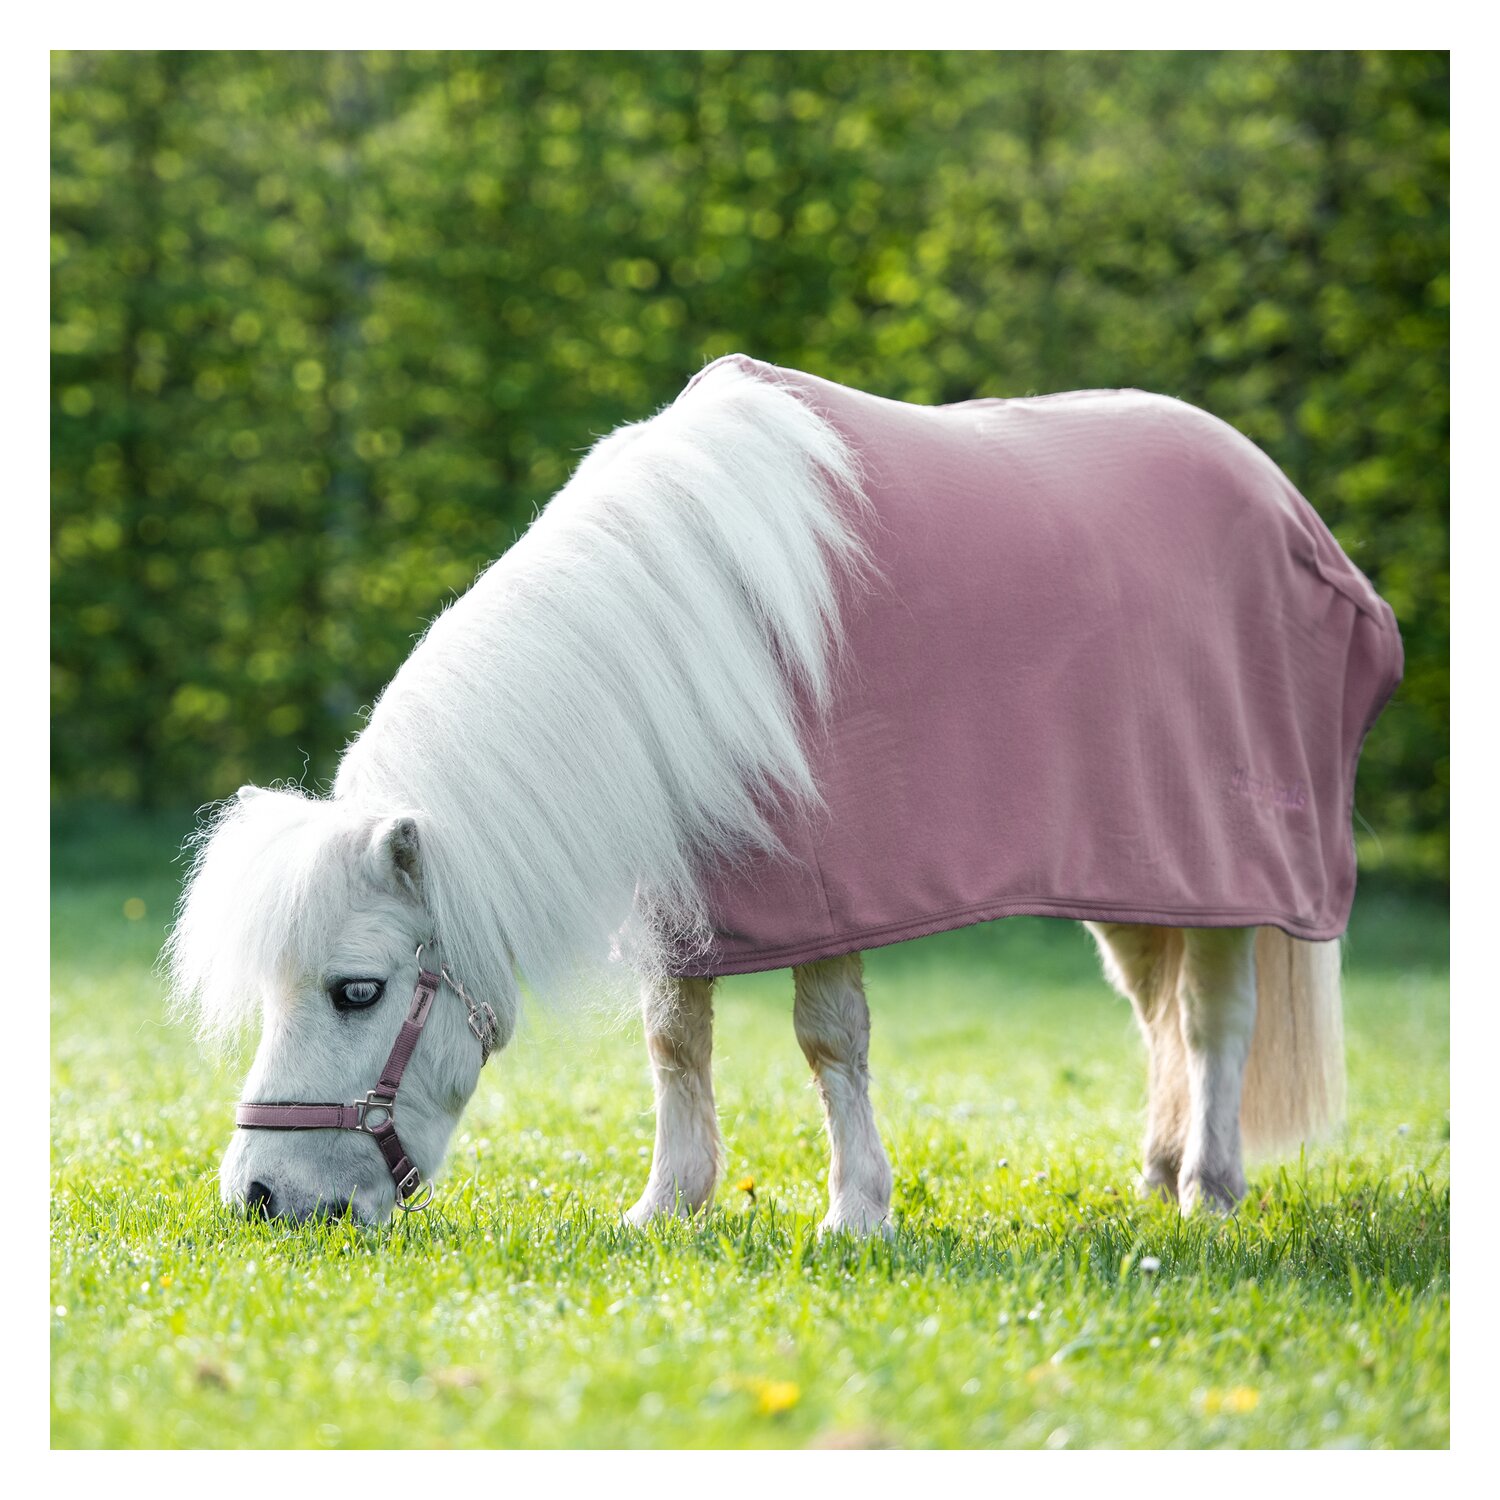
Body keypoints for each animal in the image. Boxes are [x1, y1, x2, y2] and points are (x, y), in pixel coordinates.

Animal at [166, 354, 1402, 1228]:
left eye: (357, 991)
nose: (263, 1198)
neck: (693, 627)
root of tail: (1287, 507)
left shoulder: (832, 885)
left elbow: (829, 1042)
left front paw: (856, 1215)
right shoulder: (691, 899)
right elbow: (675, 1039)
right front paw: (668, 1206)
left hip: (1233, 876)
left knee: (1210, 1019)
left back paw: (1209, 1188)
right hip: (1136, 878)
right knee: (1153, 1009)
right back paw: (1156, 1168)